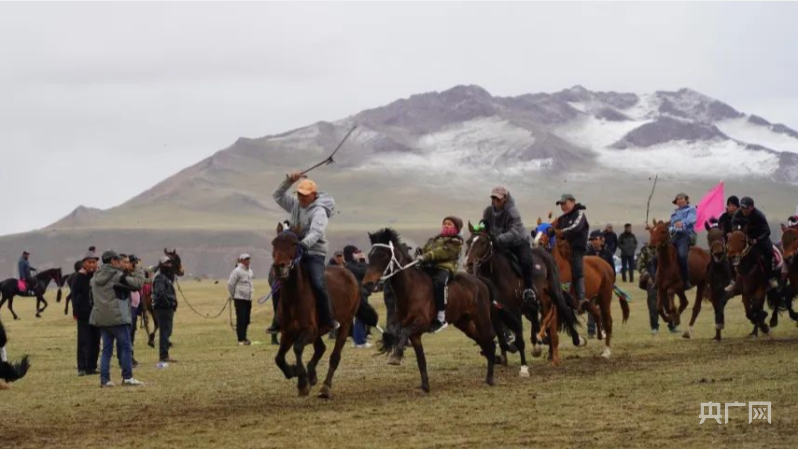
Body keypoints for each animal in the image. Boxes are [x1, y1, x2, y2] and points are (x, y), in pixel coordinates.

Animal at [272, 224, 377, 398]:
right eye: (274, 243)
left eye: (294, 244)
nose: (279, 267)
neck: (294, 296)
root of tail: (350, 275)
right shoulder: (288, 332)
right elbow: (279, 358)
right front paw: (294, 372)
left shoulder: (309, 330)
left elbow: (297, 348)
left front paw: (302, 381)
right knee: (321, 348)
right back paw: (312, 375)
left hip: (345, 324)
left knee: (334, 356)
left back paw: (325, 387)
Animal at [363, 228, 496, 392]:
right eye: (370, 255)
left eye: (383, 255)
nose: (367, 284)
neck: (411, 290)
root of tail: (480, 281)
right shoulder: (415, 334)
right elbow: (420, 358)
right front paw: (425, 386)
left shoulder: (420, 323)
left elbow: (404, 333)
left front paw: (395, 357)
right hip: (464, 323)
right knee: (482, 341)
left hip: (481, 319)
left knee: (490, 342)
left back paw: (490, 378)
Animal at [464, 223, 580, 370]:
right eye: (468, 242)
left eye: (483, 242)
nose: (468, 264)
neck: (496, 275)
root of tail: (546, 254)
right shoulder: (496, 312)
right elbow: (503, 340)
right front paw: (504, 354)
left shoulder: (515, 309)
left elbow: (519, 339)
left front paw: (524, 367)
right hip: (538, 303)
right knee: (541, 322)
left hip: (554, 293)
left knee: (564, 310)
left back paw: (577, 339)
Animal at [535, 225, 629, 359]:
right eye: (535, 231)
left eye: (549, 231)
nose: (537, 243)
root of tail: (606, 265)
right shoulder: (548, 302)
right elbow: (549, 325)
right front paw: (549, 353)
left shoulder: (564, 302)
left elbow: (563, 320)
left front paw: (578, 340)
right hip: (589, 301)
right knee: (596, 312)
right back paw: (601, 335)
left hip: (604, 297)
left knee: (607, 321)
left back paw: (606, 351)